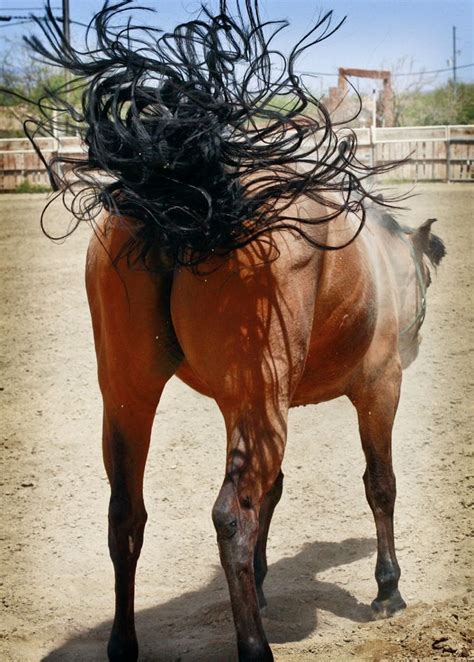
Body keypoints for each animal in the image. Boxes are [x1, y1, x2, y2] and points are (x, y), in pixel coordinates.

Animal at [13, 2, 446, 660]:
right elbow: (380, 485)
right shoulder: (377, 389)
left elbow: (274, 493)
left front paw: (262, 586)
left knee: (126, 515)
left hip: (131, 395)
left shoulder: (242, 405)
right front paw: (388, 589)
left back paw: (123, 643)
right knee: (229, 519)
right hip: (258, 400)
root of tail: (186, 188)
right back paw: (254, 647)